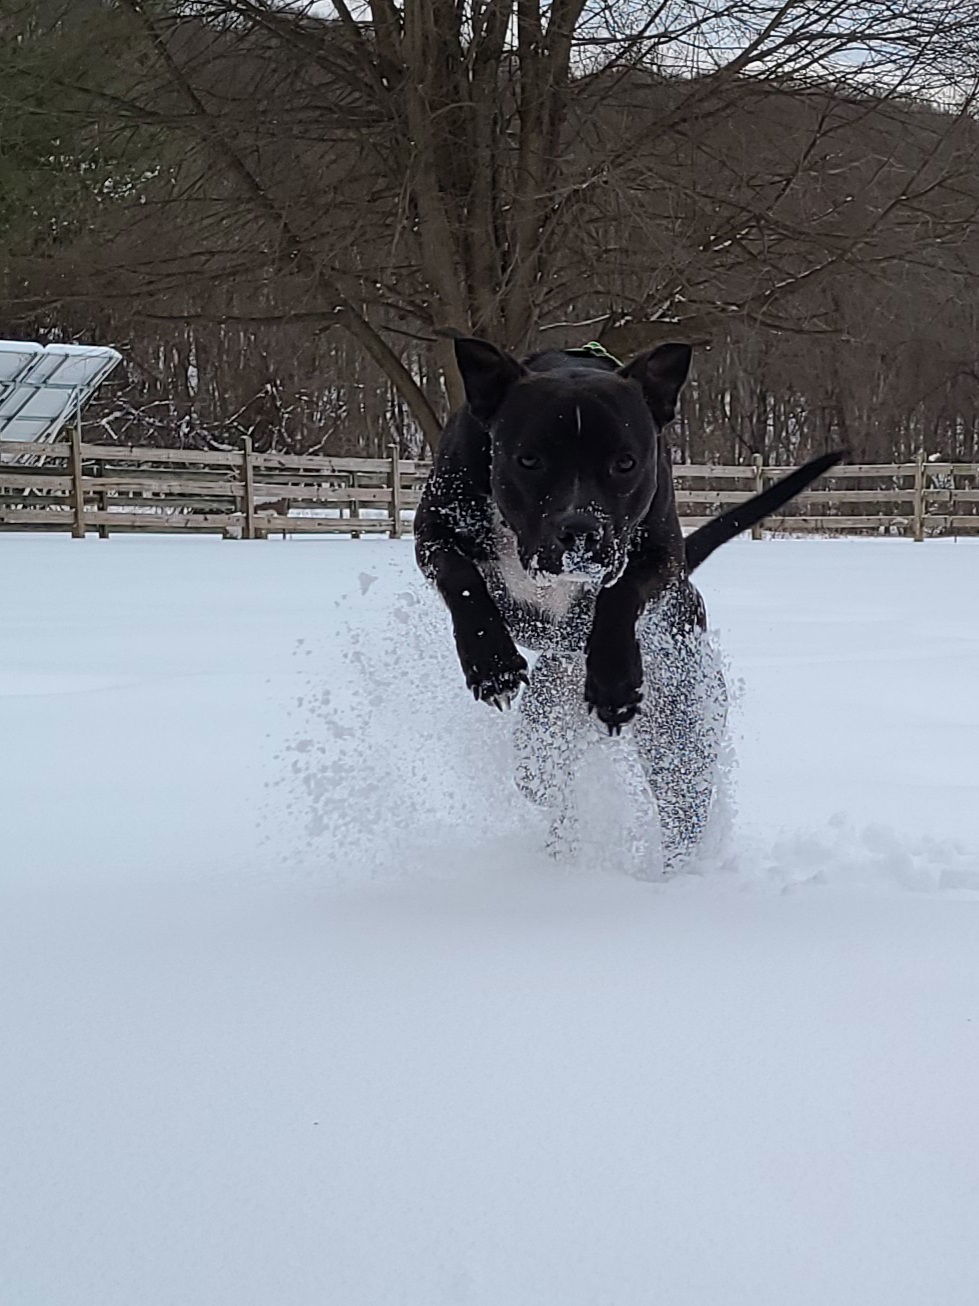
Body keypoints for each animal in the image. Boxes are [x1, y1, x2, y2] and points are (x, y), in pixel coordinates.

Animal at [415, 342, 845, 861]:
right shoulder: (432, 531)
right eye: (529, 460)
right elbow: (461, 580)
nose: (581, 530)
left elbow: (619, 596)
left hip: (681, 738)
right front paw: (492, 664)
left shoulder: (659, 555)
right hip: (545, 738)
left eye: (625, 463)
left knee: (679, 815)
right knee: (547, 784)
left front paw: (615, 681)